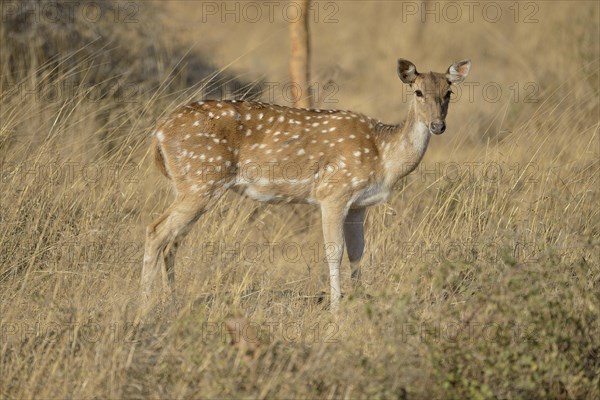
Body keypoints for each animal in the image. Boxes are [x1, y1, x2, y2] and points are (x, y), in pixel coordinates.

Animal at [143, 57, 472, 310]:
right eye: (417, 91)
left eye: (449, 92)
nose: (438, 125)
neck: (383, 156)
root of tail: (159, 132)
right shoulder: (333, 193)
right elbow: (334, 251)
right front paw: (336, 310)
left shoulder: (359, 206)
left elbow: (358, 253)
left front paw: (359, 303)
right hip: (200, 180)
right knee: (156, 230)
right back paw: (144, 305)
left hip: (191, 185)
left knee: (172, 239)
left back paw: (172, 301)